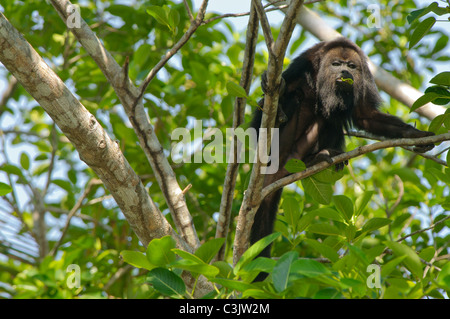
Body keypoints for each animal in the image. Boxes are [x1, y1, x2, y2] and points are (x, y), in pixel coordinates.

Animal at [251, 37, 434, 272]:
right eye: (337, 64)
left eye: (352, 66)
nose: (345, 72)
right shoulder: (303, 64)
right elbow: (259, 118)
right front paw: (274, 90)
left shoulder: (365, 76)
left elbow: (365, 115)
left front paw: (415, 134)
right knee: (295, 100)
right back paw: (281, 114)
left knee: (330, 116)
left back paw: (317, 157)